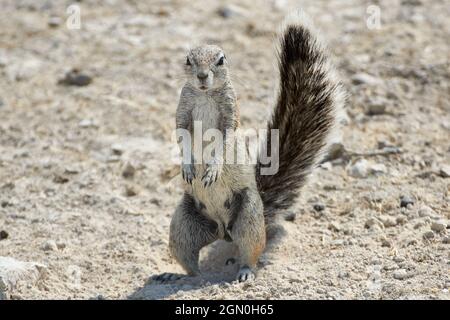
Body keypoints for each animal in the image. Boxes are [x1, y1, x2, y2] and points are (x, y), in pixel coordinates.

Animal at [151, 10, 344, 282]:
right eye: (188, 60)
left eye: (221, 60)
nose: (202, 76)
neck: (204, 94)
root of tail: (223, 230)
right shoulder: (182, 112)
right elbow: (181, 135)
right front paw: (188, 166)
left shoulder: (230, 115)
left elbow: (225, 140)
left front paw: (213, 168)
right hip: (182, 227)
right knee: (192, 267)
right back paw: (177, 276)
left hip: (248, 217)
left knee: (250, 251)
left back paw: (245, 272)